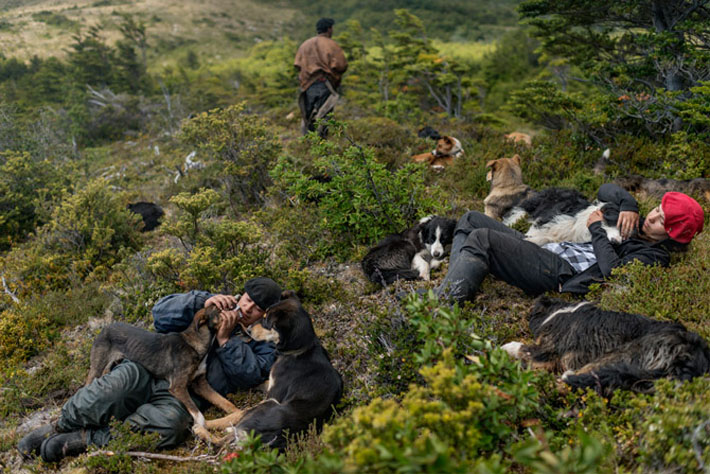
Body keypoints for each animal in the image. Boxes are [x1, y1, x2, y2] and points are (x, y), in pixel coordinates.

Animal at [202, 290, 344, 450]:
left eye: (266, 321)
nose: (248, 329)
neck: (299, 350)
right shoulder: (272, 383)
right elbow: (262, 381)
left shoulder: (274, 394)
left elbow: (239, 413)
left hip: (267, 406)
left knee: (219, 440)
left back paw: (202, 426)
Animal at [504, 296, 710, 396]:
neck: (560, 312)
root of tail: (692, 351)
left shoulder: (547, 350)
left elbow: (523, 348)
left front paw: (505, 347)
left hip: (618, 356)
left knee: (575, 381)